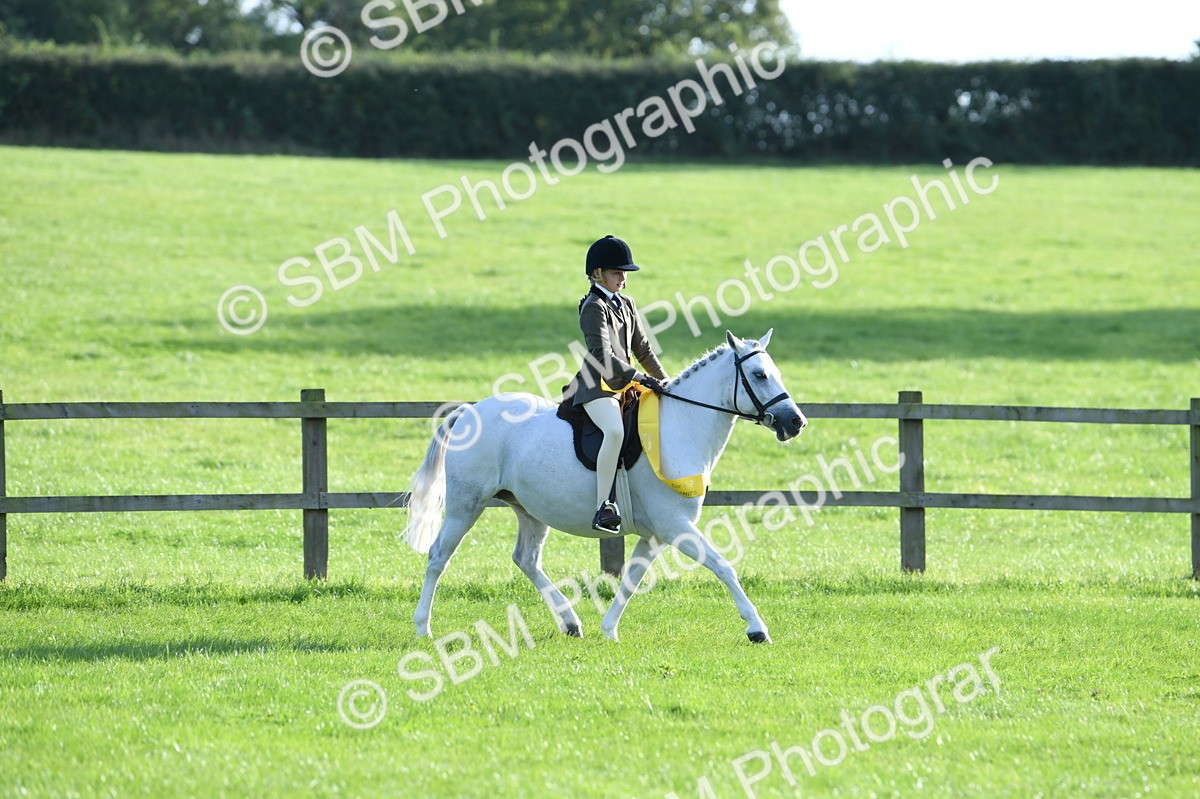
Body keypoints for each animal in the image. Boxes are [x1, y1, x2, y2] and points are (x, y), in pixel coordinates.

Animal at [404, 330, 807, 643]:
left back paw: (570, 622)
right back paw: (423, 627)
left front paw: (609, 629)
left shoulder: (656, 534)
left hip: (529, 509)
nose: (796, 422)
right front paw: (757, 628)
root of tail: (469, 412)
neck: (679, 427)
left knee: (526, 559)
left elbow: (632, 578)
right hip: (466, 505)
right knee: (438, 556)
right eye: (759, 374)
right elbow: (723, 566)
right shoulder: (675, 527)